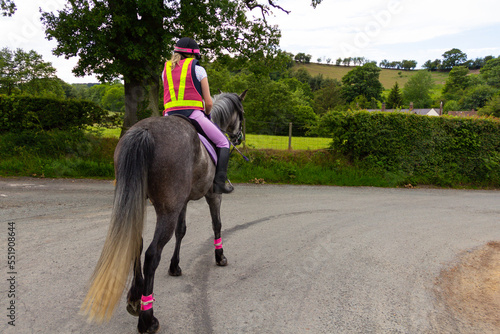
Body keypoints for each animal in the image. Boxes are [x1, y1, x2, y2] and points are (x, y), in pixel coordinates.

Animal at [80, 90, 248, 332]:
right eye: (241, 113)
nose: (239, 137)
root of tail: (145, 131)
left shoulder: (182, 202)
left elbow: (182, 231)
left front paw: (175, 266)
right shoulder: (212, 196)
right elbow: (216, 225)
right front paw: (220, 256)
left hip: (144, 202)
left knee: (137, 243)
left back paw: (135, 297)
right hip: (167, 211)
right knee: (152, 254)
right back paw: (147, 317)